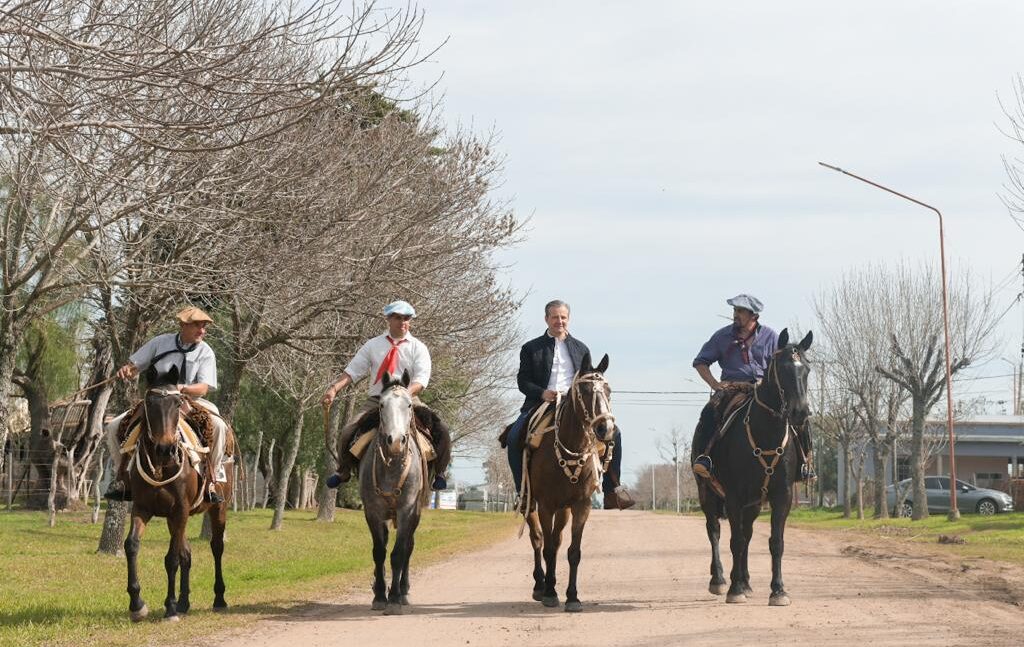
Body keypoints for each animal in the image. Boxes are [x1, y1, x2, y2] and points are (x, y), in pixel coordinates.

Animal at [122, 366, 234, 618]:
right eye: (149, 403)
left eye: (177, 403)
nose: (165, 448)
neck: (162, 467)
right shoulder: (143, 508)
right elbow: (131, 545)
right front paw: (137, 604)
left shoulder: (180, 509)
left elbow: (172, 558)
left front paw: (170, 606)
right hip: (174, 518)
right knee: (187, 553)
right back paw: (184, 603)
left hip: (218, 507)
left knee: (216, 547)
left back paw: (219, 598)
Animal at [360, 370, 428, 614]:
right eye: (381, 404)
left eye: (408, 405)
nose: (396, 441)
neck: (391, 465)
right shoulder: (373, 512)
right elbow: (379, 552)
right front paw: (380, 595)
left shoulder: (406, 511)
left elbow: (398, 554)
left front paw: (395, 597)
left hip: (415, 515)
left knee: (408, 547)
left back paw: (404, 590)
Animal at [524, 354, 610, 610]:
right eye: (585, 391)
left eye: (608, 390)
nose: (606, 428)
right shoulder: (545, 505)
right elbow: (548, 549)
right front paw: (550, 593)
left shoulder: (581, 505)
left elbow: (573, 551)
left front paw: (572, 596)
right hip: (530, 503)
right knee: (538, 539)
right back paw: (540, 585)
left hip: (564, 510)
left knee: (557, 539)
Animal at [696, 327, 815, 606]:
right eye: (782, 368)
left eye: (806, 368)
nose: (800, 413)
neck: (765, 433)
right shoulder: (734, 496)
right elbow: (735, 540)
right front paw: (734, 589)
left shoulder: (781, 495)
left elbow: (775, 542)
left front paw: (778, 590)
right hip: (707, 492)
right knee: (715, 530)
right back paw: (720, 580)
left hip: (753, 503)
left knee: (747, 533)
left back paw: (747, 582)